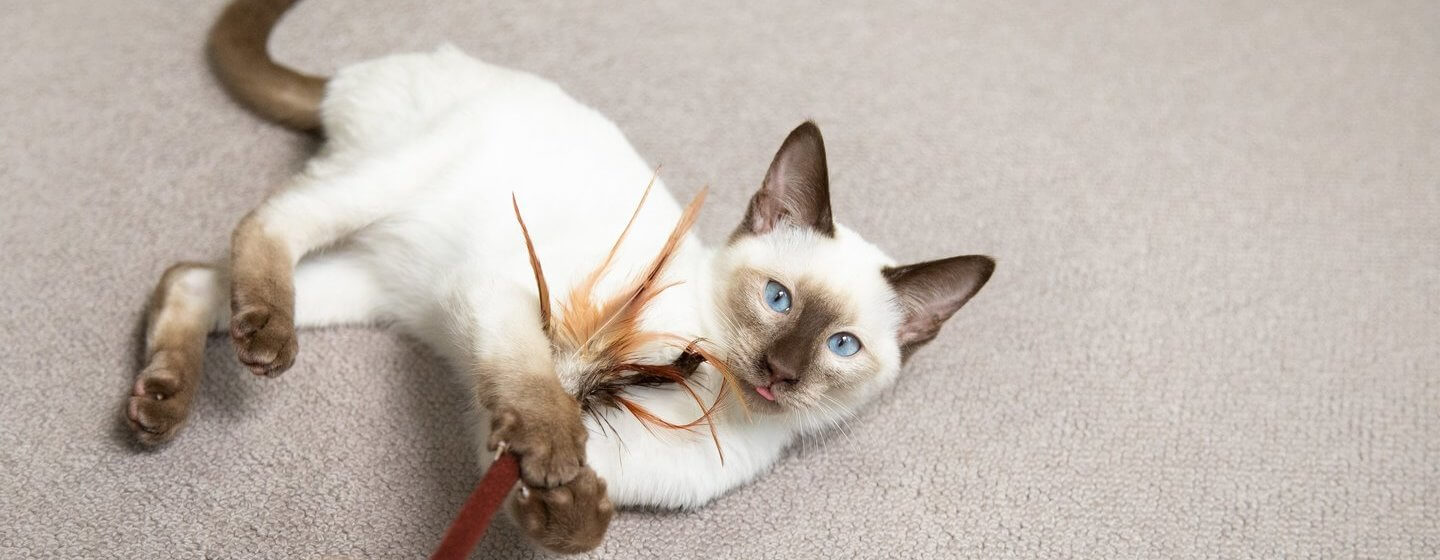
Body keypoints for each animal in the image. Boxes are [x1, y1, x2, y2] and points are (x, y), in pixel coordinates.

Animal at [126, 0, 990, 549]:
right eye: (777, 299)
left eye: (842, 346)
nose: (779, 372)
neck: (717, 408)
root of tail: (358, 74)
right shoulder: (513, 309)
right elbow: (540, 398)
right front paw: (557, 456)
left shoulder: (519, 450)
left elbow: (578, 517)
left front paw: (556, 512)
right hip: (394, 183)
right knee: (269, 222)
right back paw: (257, 345)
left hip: (372, 288)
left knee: (190, 276)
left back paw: (160, 403)